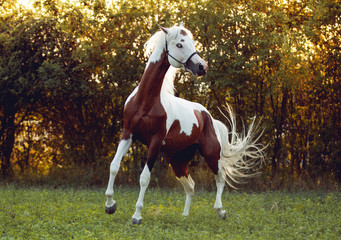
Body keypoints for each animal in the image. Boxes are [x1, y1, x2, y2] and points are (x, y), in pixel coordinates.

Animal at [103, 23, 262, 225]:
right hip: (178, 161)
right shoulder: (128, 134)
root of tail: (208, 117)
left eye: (192, 42)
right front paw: (110, 205)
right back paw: (185, 216)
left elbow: (144, 177)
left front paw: (137, 215)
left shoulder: (155, 141)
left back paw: (220, 211)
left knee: (220, 178)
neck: (145, 101)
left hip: (211, 154)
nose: (202, 67)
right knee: (191, 186)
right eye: (179, 44)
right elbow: (114, 166)